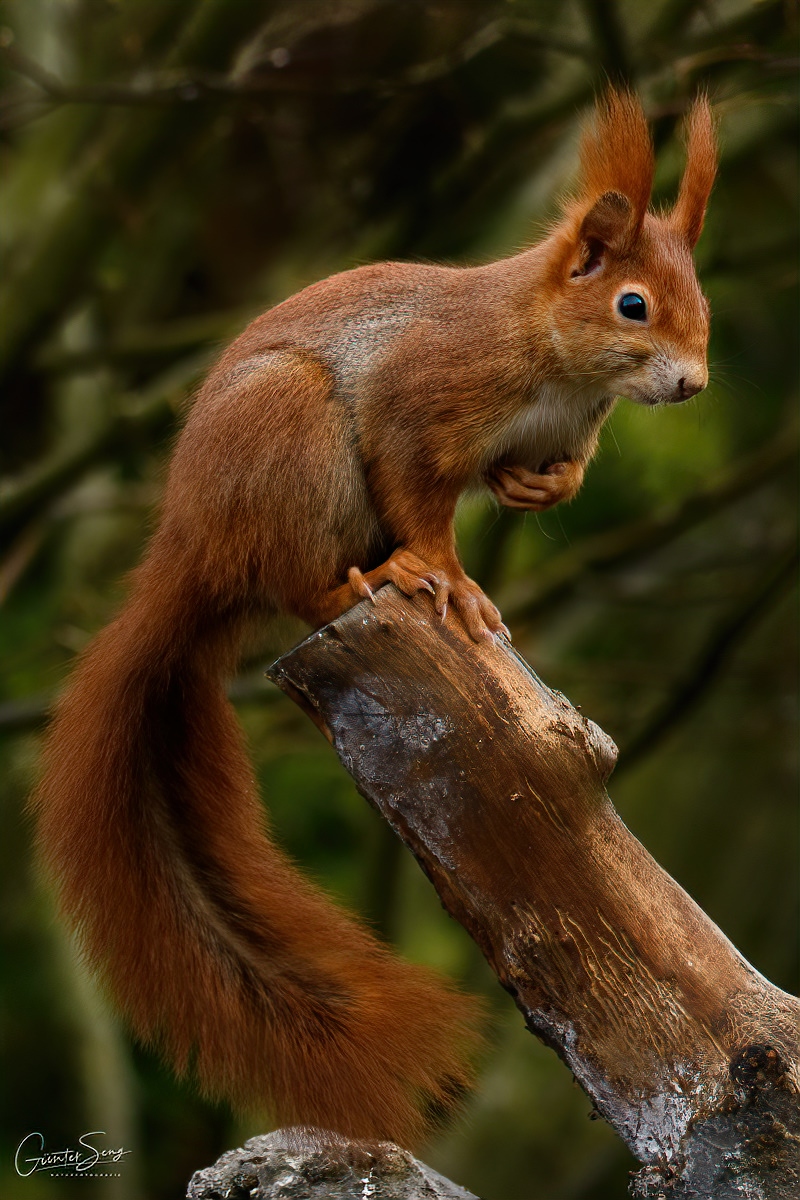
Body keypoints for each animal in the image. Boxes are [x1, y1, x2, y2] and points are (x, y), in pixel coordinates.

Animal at [32, 91, 719, 1142]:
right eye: (632, 305)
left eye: (704, 308)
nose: (691, 384)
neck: (555, 362)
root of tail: (190, 551)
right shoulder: (422, 401)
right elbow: (421, 495)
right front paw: (450, 578)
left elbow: (537, 477)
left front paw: (541, 488)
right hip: (292, 440)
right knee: (293, 581)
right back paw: (356, 585)